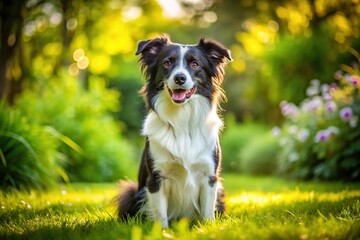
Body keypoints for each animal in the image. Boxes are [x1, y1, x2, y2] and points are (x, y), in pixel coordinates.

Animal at [116, 34, 232, 228]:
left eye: (195, 64)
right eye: (168, 62)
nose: (179, 78)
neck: (182, 120)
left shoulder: (209, 176)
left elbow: (208, 212)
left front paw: (208, 229)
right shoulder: (157, 177)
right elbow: (160, 214)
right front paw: (162, 231)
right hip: (132, 192)